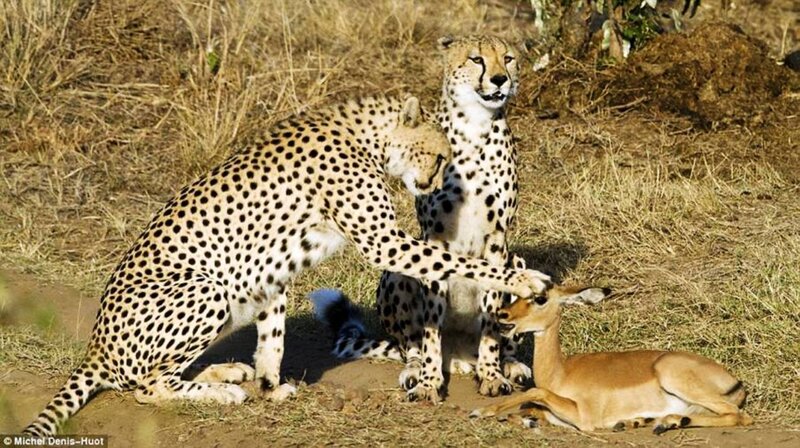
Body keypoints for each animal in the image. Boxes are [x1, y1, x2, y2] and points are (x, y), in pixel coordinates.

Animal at [470, 286, 753, 434]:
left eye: (540, 298)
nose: (502, 315)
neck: (561, 372)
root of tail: (735, 382)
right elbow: (530, 406)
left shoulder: (583, 417)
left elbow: (534, 393)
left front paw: (480, 411)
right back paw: (652, 421)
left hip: (674, 377)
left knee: (740, 416)